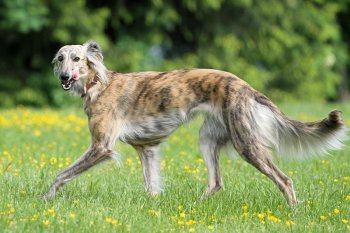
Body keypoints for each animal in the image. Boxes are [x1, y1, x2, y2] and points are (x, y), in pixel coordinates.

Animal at [42, 40, 346, 206]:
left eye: (77, 58)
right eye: (60, 58)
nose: (64, 78)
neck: (98, 85)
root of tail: (246, 86)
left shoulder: (101, 147)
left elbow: (61, 175)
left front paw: (45, 199)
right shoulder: (146, 148)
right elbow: (151, 186)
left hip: (246, 143)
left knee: (285, 179)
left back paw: (294, 212)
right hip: (208, 139)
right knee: (216, 183)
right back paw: (193, 208)